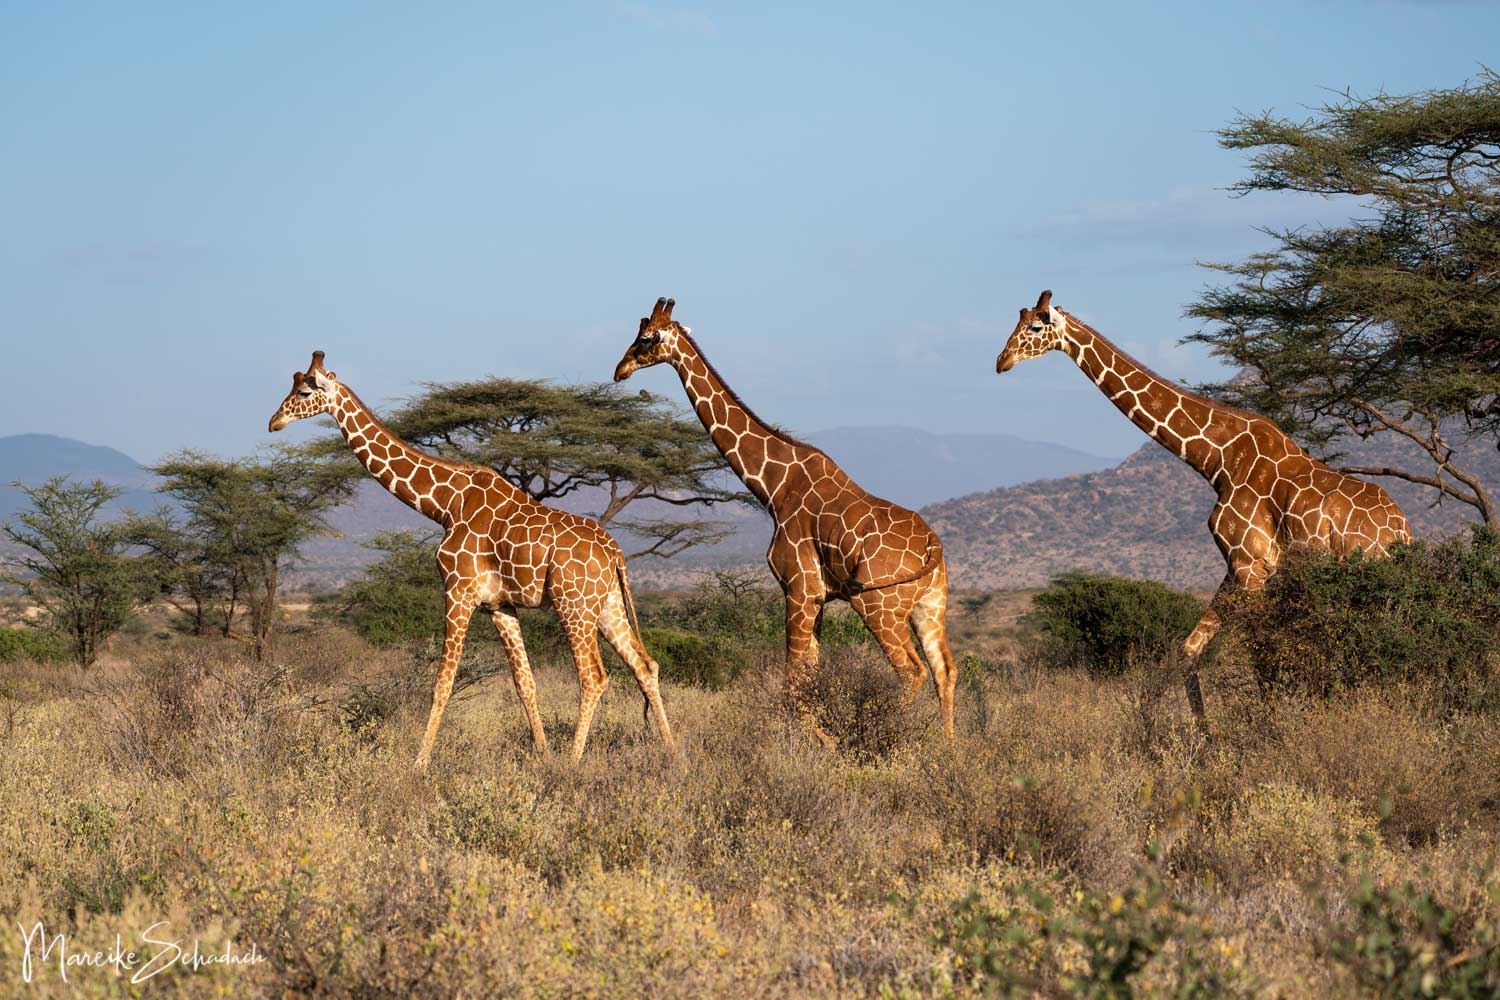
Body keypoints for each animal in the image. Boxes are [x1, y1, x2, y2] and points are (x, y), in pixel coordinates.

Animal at [267, 352, 678, 767]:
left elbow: (443, 683)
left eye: (304, 392)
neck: (444, 504)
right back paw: (674, 752)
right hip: (607, 602)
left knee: (594, 676)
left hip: (573, 603)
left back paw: (573, 761)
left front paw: (419, 762)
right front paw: (542, 753)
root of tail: (614, 551)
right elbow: (524, 683)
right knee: (645, 665)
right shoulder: (499, 605)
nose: (274, 422)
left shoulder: (458, 591)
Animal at [612, 296, 954, 734]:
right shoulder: (817, 596)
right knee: (945, 671)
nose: (620, 369)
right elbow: (809, 675)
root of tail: (933, 547)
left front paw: (812, 742)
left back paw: (896, 738)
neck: (774, 488)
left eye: (645, 338)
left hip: (880, 605)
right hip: (930, 605)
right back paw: (947, 745)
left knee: (911, 671)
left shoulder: (798, 587)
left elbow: (794, 680)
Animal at [996, 293, 1404, 716]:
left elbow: (1264, 655)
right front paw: (1188, 726)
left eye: (1035, 327)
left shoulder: (1250, 563)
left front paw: (1270, 723)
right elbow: (1189, 649)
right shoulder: (1238, 566)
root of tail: (1400, 529)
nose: (1001, 361)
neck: (1217, 461)